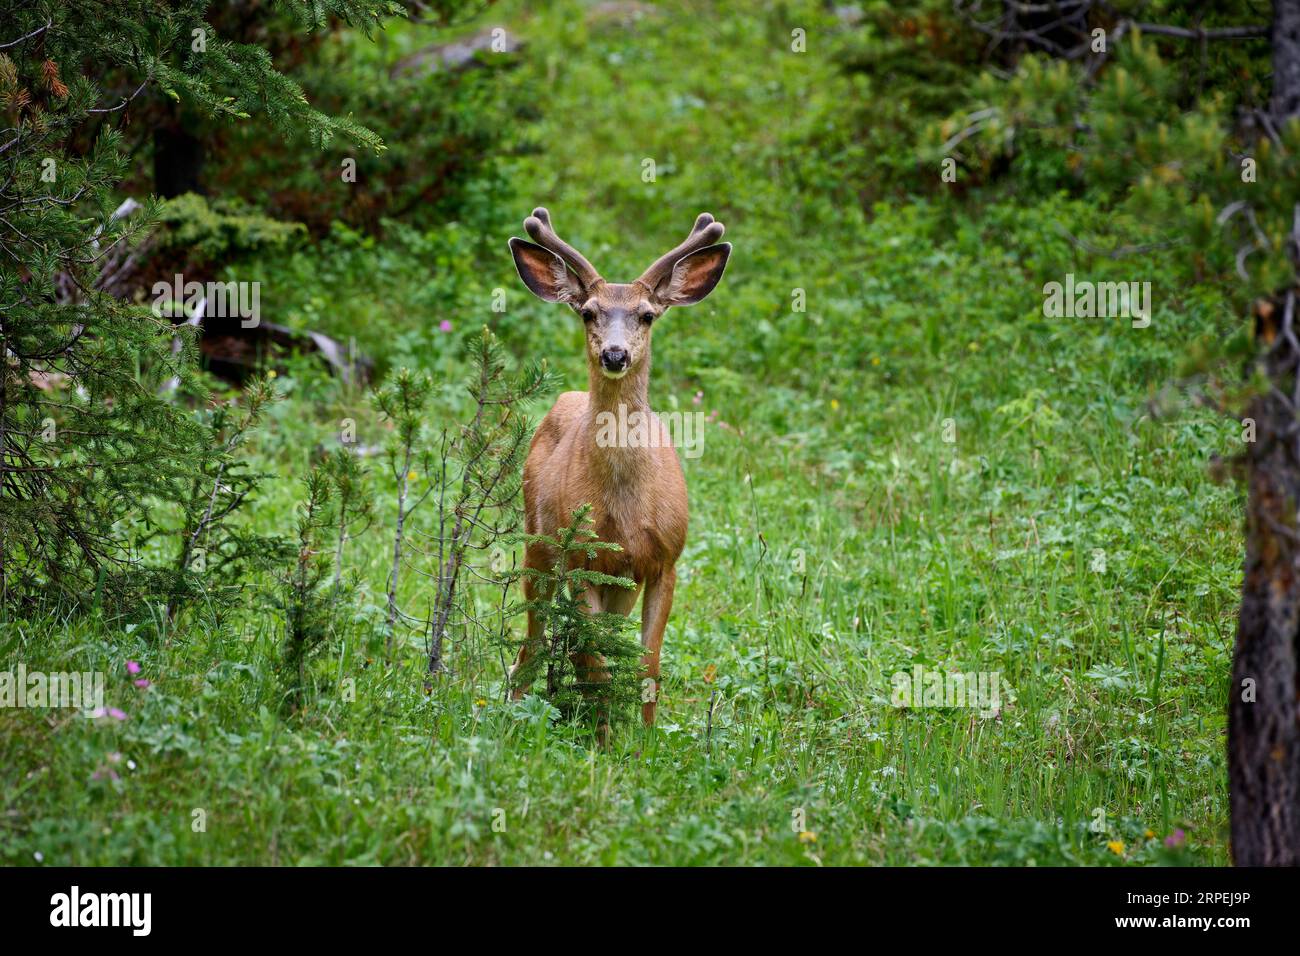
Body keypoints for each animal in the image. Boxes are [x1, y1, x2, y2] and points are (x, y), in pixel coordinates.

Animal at [506, 207, 731, 729]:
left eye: (647, 315)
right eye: (588, 311)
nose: (614, 354)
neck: (627, 505)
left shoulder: (665, 559)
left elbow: (648, 665)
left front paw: (646, 739)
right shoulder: (582, 560)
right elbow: (596, 664)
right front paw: (608, 739)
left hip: (619, 584)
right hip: (539, 543)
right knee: (533, 643)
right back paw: (515, 709)